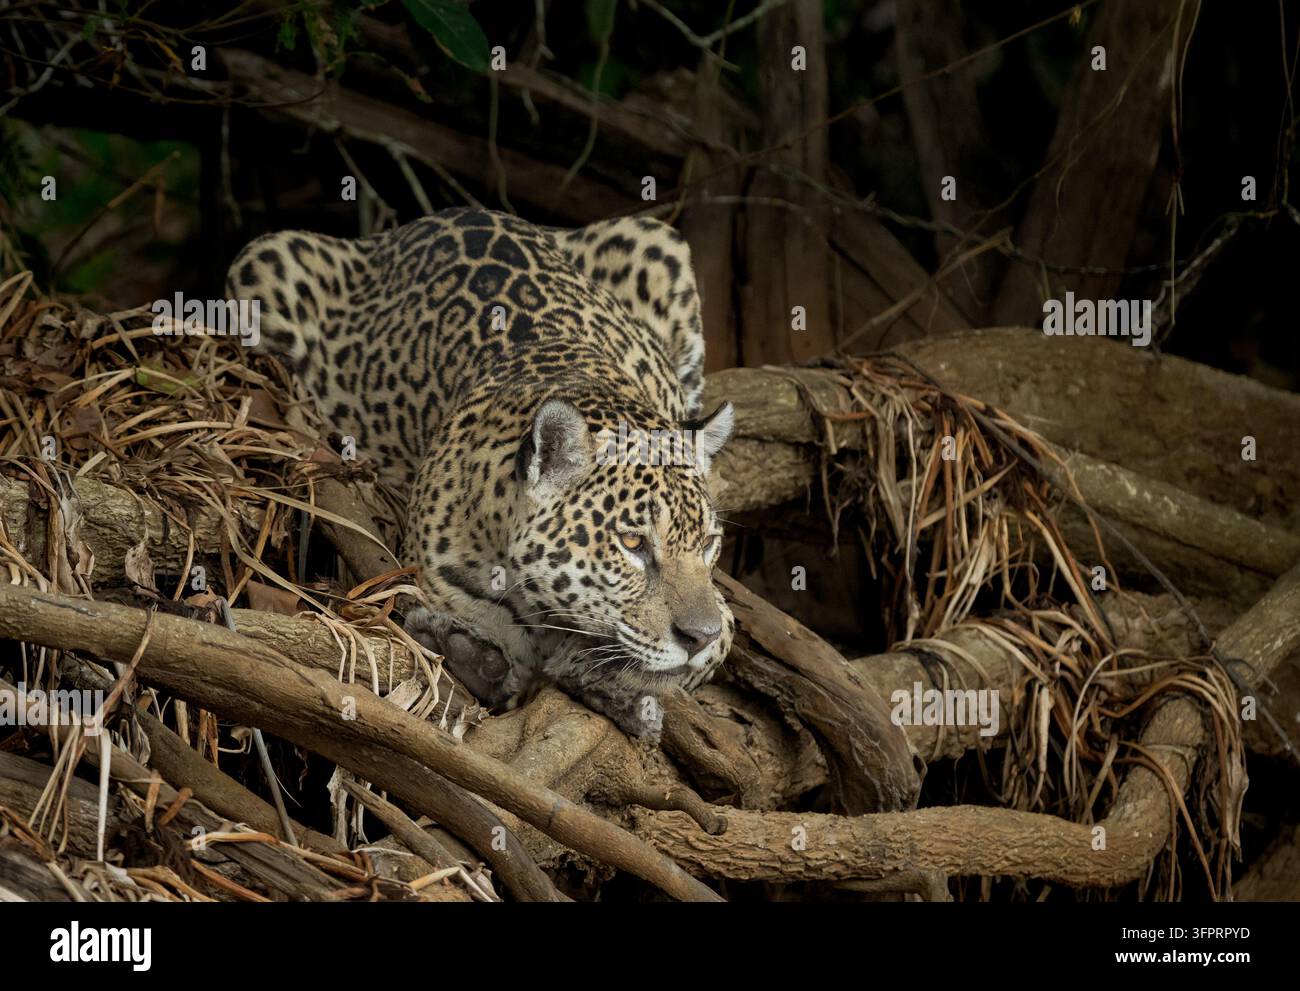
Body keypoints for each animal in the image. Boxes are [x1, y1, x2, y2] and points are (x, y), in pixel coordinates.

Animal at [226, 208, 734, 740]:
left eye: (707, 544)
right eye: (632, 543)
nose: (697, 635)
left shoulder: (722, 613)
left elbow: (701, 652)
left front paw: (613, 680)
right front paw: (474, 654)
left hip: (655, 239)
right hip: (263, 260)